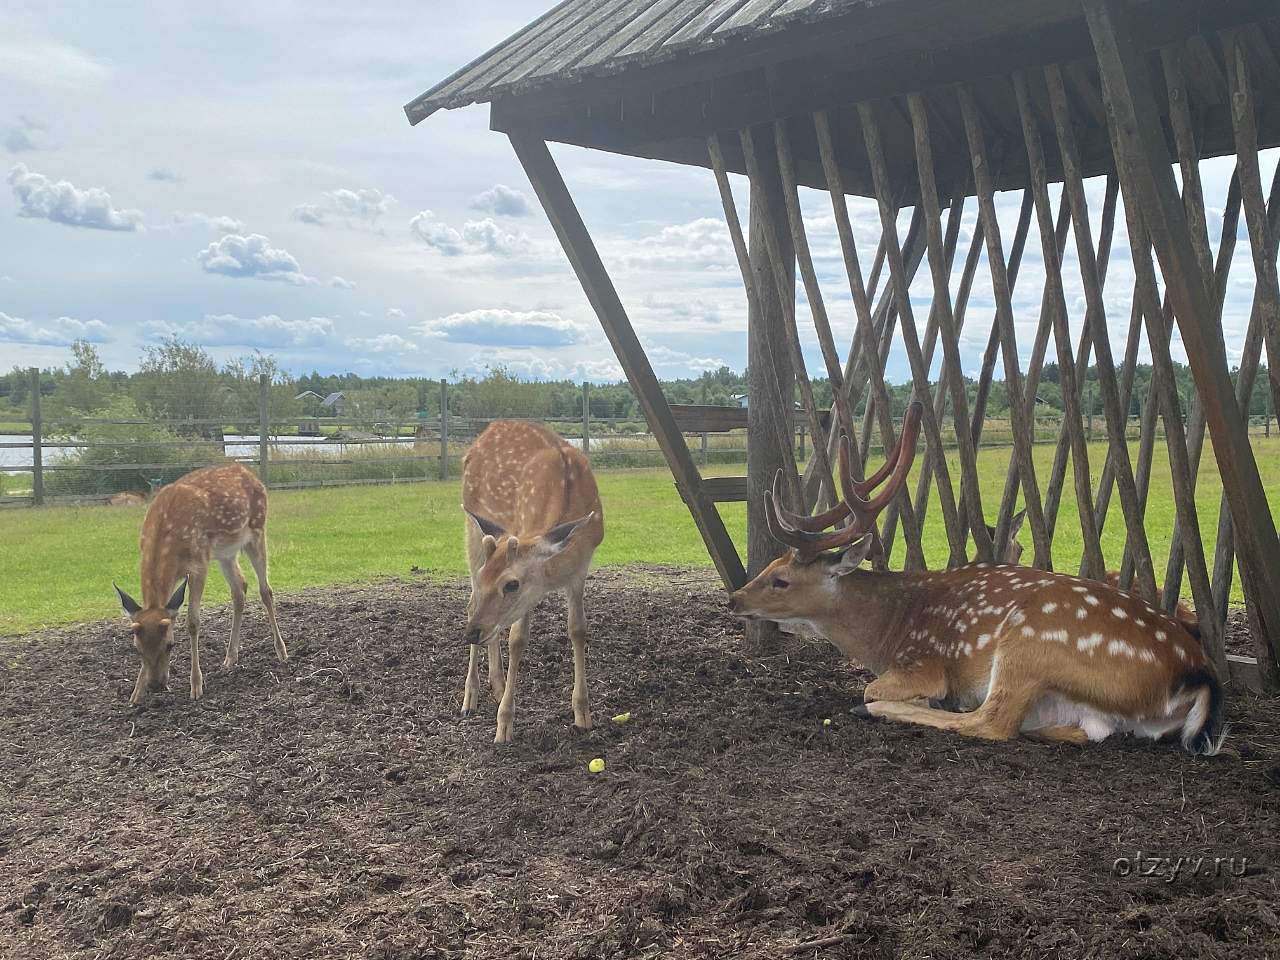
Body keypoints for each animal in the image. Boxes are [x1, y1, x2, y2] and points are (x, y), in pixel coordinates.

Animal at [113, 463, 286, 701]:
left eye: (170, 645)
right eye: (136, 648)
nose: (156, 685)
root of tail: (248, 471)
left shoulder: (199, 562)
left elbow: (193, 621)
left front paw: (196, 685)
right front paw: (135, 694)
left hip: (257, 531)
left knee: (265, 590)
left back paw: (281, 651)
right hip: (225, 552)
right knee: (240, 588)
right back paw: (230, 657)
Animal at [458, 419, 601, 742]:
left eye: (511, 584)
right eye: (487, 579)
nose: (471, 633)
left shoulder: (580, 572)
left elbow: (578, 630)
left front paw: (583, 714)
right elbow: (518, 639)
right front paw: (504, 724)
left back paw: (497, 685)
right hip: (473, 530)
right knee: (470, 604)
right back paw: (470, 696)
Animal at [727, 401, 1223, 757]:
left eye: (781, 580)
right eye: (768, 568)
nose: (734, 599)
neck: (888, 631)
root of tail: (1196, 674)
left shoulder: (923, 662)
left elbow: (878, 685)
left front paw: (908, 699)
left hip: (1031, 641)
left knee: (990, 721)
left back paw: (880, 709)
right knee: (1084, 732)